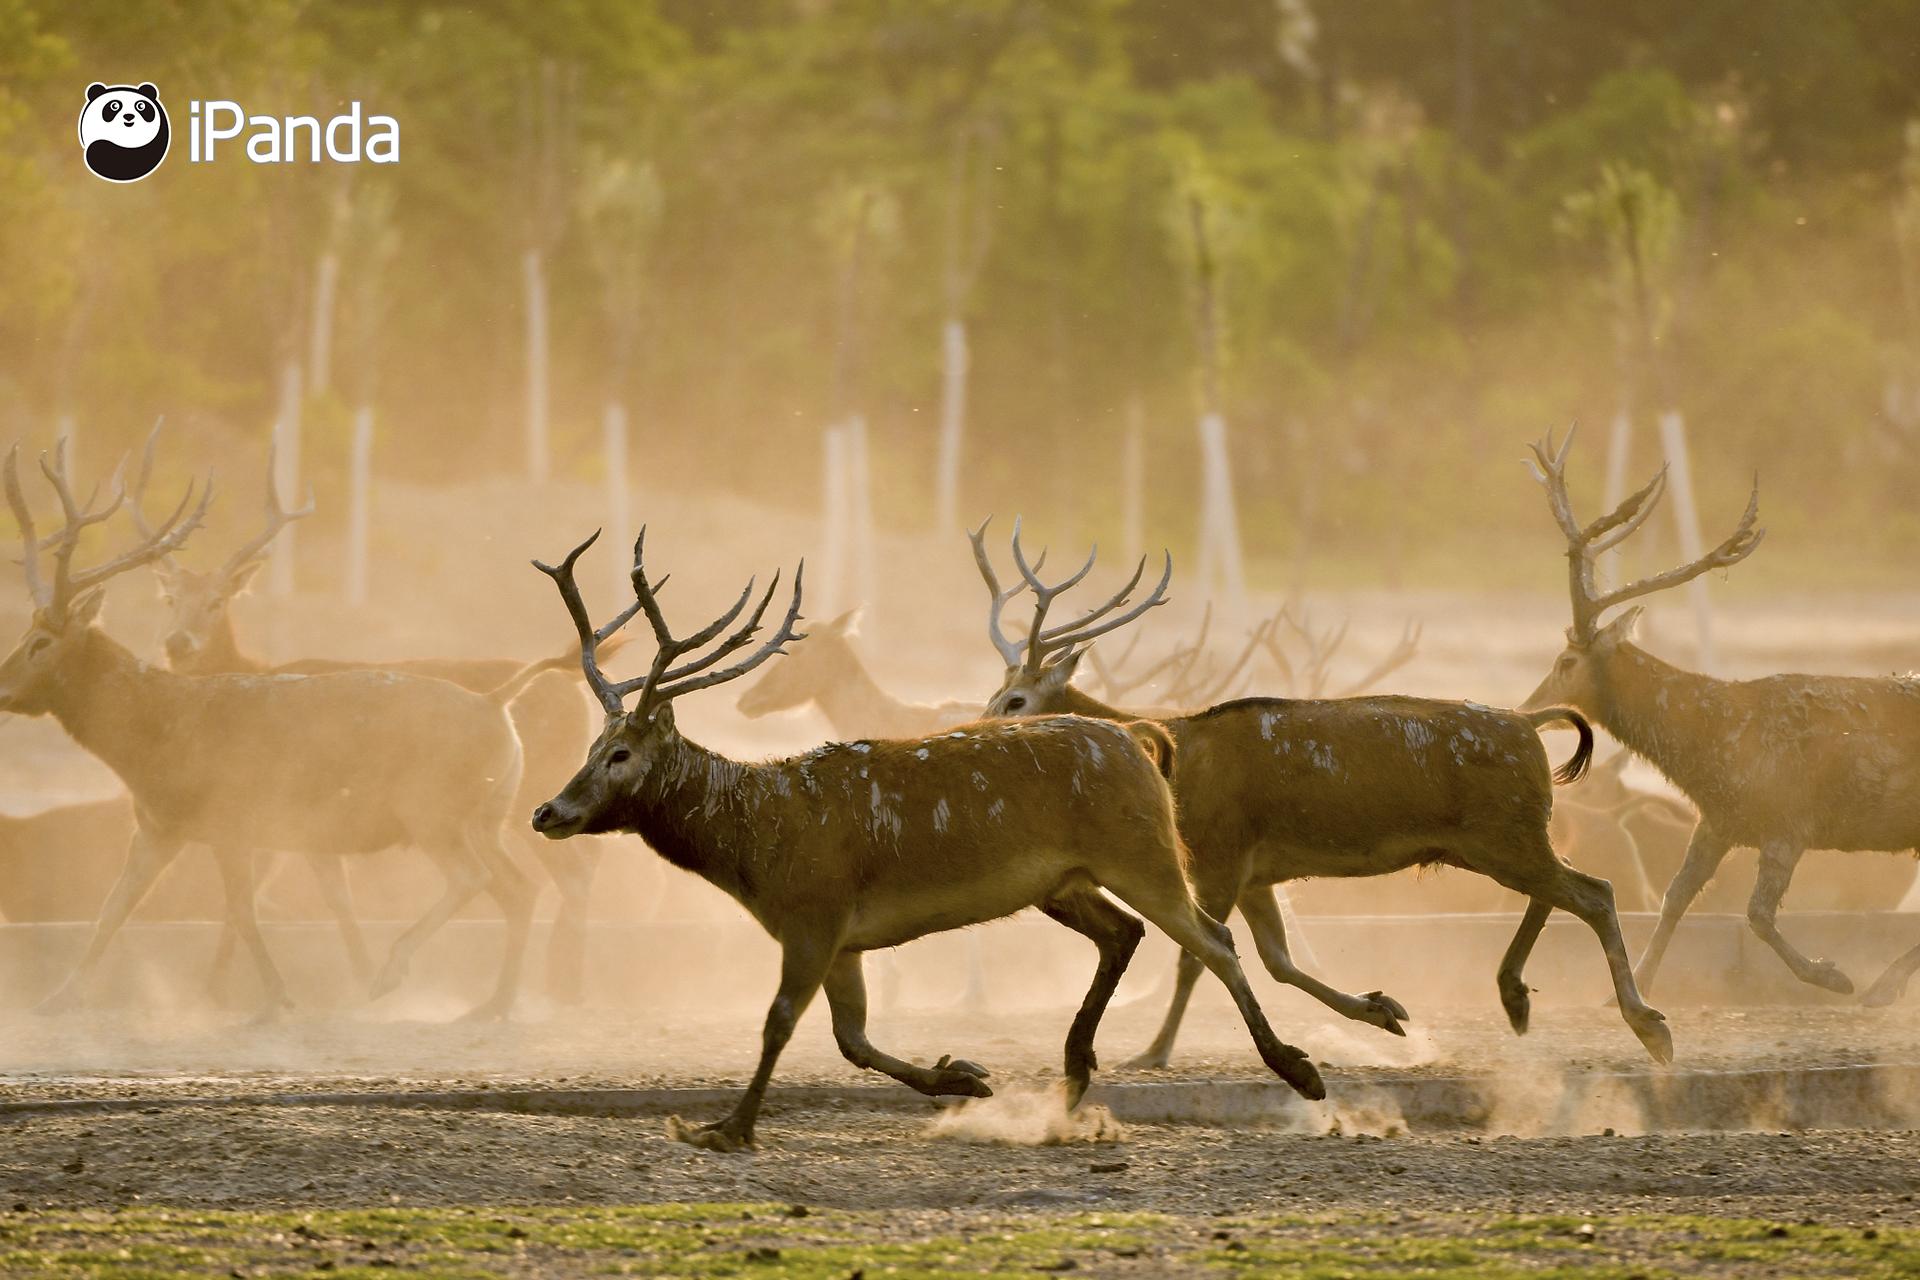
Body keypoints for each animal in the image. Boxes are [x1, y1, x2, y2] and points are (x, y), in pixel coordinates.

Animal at [0, 445, 552, 1028]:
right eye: (23, 633)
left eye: (40, 642)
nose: (2, 689)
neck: (157, 740)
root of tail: (497, 703)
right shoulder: (158, 828)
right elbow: (113, 908)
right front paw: (55, 998)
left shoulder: (231, 821)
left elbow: (241, 912)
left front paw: (275, 999)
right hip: (489, 815)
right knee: (520, 889)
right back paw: (492, 1004)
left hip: (432, 809)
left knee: (474, 878)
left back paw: (395, 972)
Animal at [127, 435, 602, 1005]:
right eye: (170, 599)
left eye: (218, 602)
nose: (178, 642)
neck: (251, 671)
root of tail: (573, 690)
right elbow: (266, 893)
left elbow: (293, 893)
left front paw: (232, 986)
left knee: (571, 877)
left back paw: (562, 986)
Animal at [526, 529, 1328, 1151]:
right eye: (591, 744)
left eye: (620, 754)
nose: (547, 811)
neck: (755, 848)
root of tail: (1142, 738)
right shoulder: (842, 938)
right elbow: (851, 1041)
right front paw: (963, 1077)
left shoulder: (813, 913)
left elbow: (780, 1023)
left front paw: (728, 1127)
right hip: (1064, 881)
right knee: (1123, 933)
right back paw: (1071, 1081)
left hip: (1143, 852)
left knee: (1212, 938)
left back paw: (1301, 1071)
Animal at [967, 521, 1674, 1074]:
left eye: (1016, 700)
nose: (974, 731)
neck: (1179, 761)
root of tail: (1532, 725)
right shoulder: (1255, 872)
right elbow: (1277, 960)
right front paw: (1383, 1011)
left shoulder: (1219, 852)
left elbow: (1197, 955)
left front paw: (1153, 1051)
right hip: (1502, 839)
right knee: (1565, 886)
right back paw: (1516, 996)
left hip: (1503, 834)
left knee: (1594, 891)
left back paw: (1650, 1027)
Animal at [1520, 435, 1920, 1005]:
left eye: (1566, 662)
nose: (1526, 708)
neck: (1708, 746)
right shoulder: (1718, 818)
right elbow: (1674, 897)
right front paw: (1627, 992)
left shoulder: (1788, 817)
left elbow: (1757, 915)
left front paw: (1832, 975)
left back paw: (1881, 986)